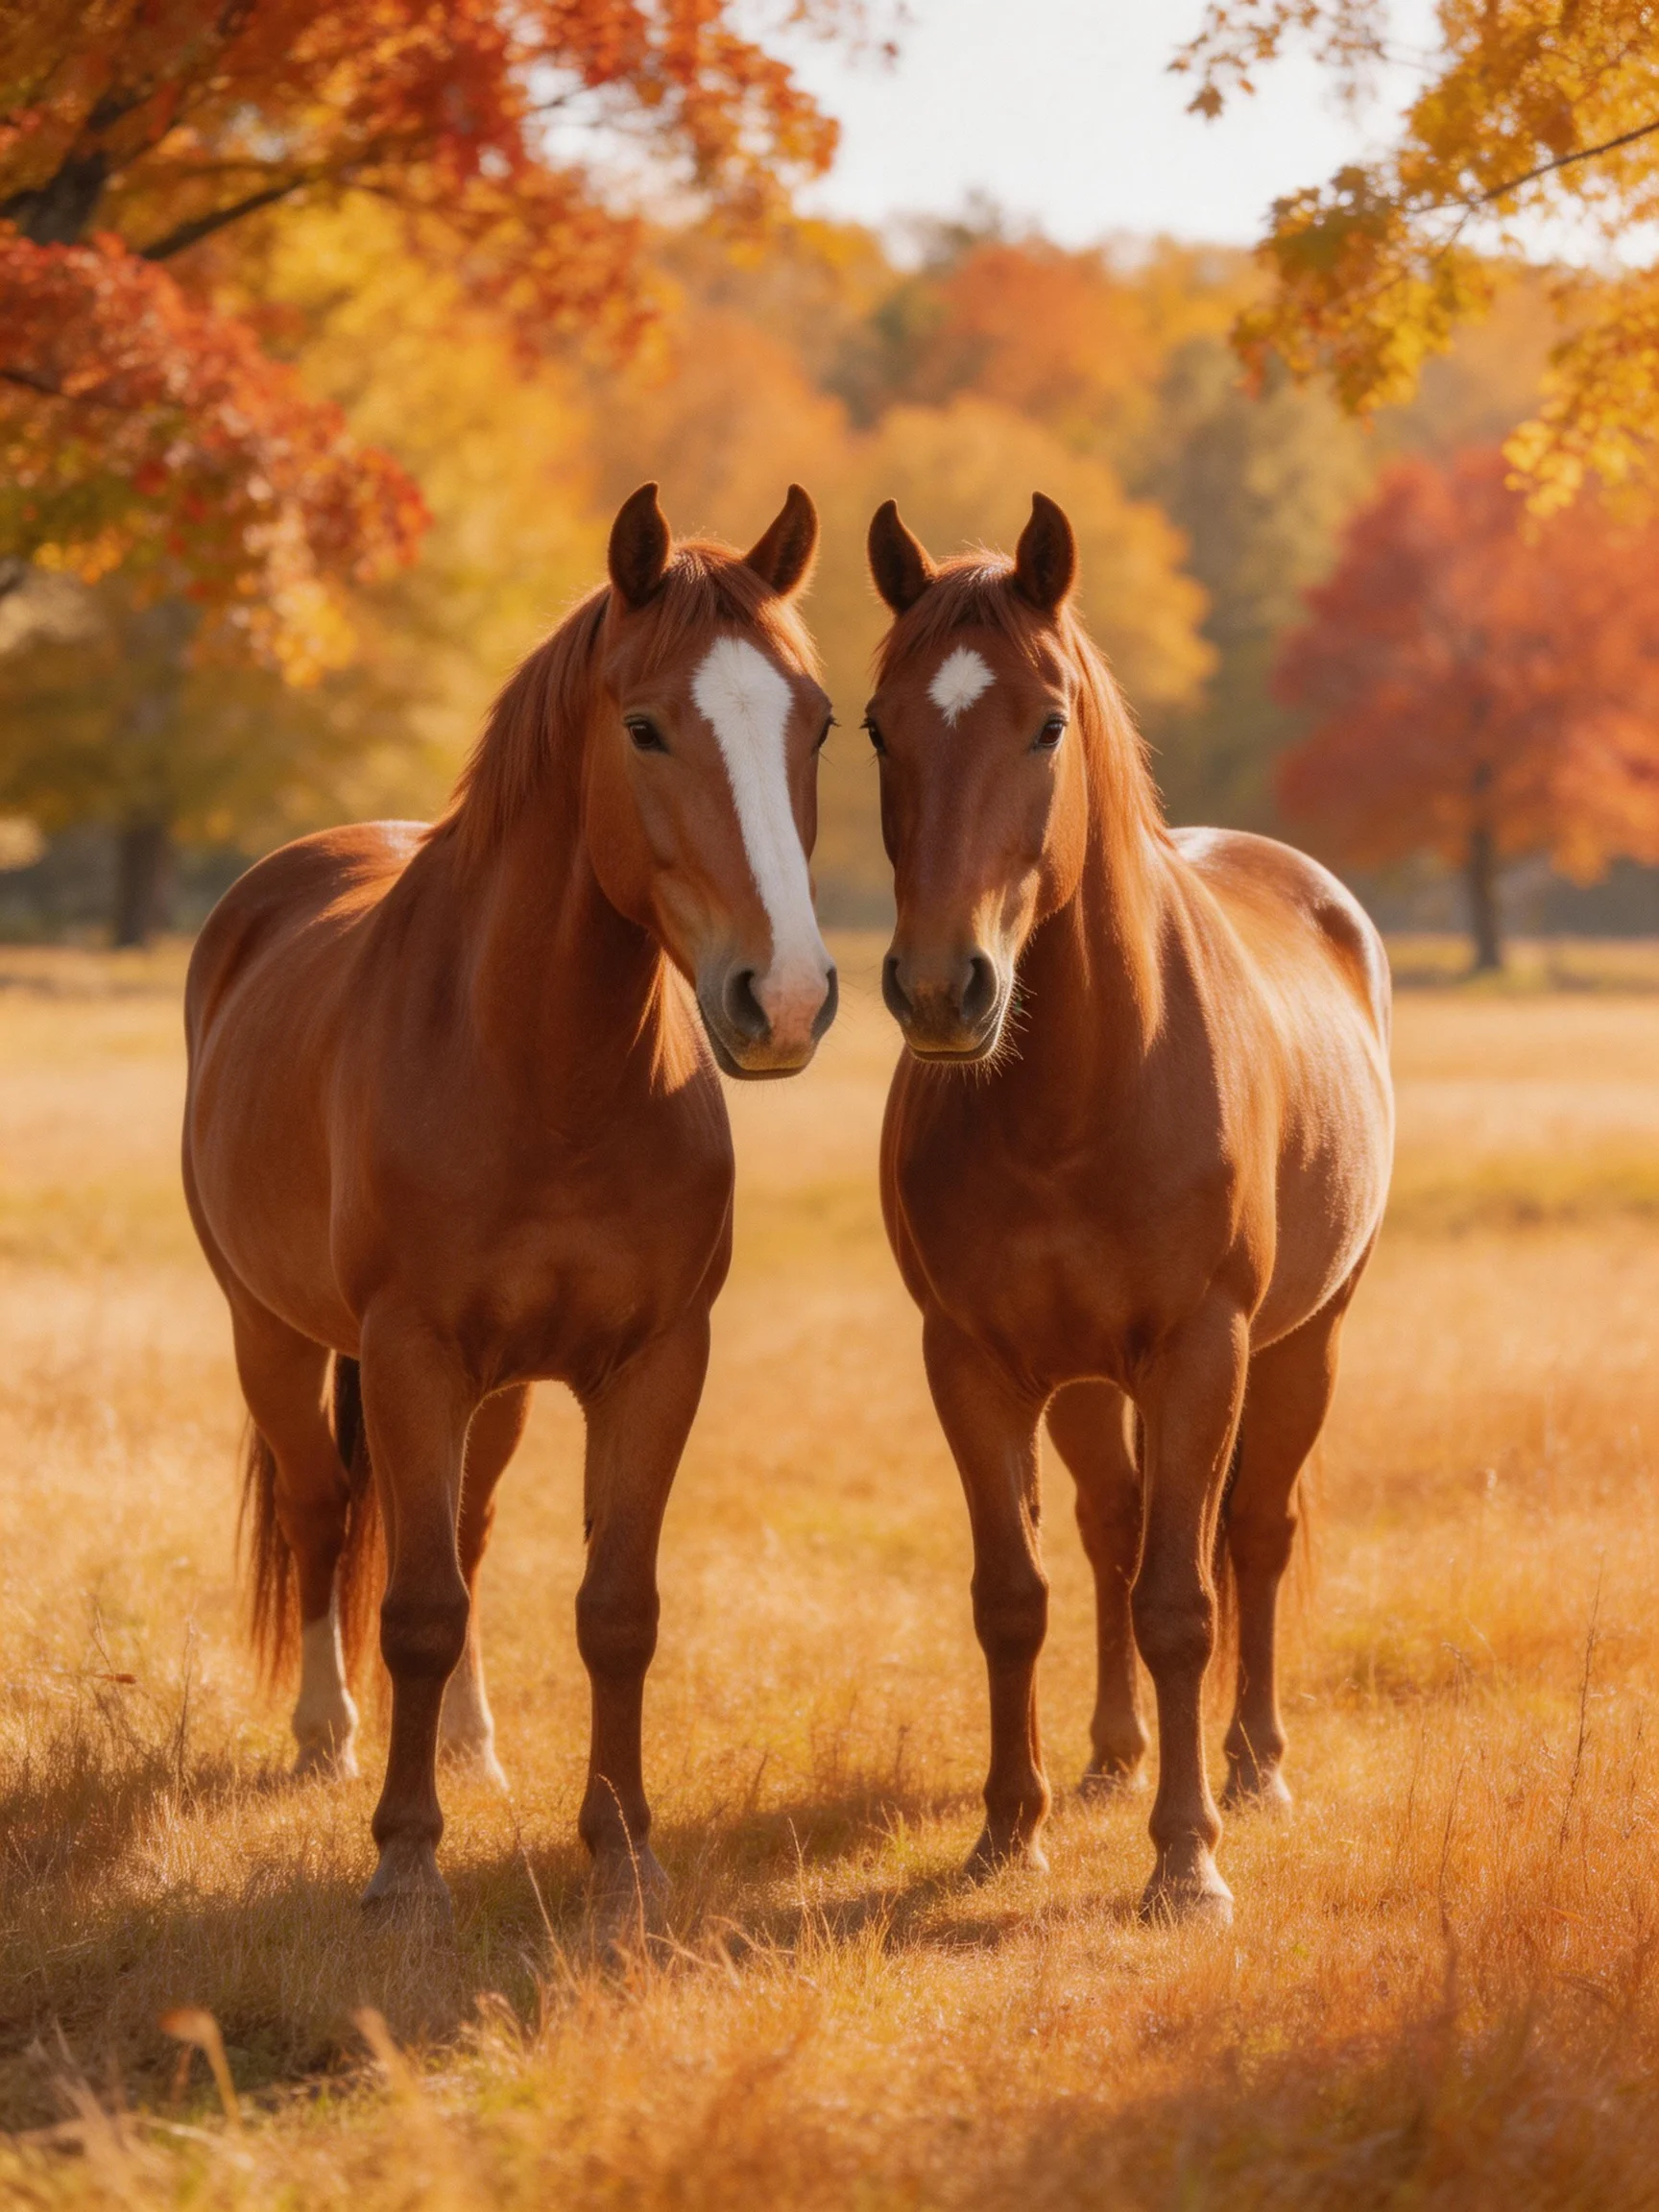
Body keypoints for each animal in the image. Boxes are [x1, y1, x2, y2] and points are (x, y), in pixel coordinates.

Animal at [182, 482, 838, 1925]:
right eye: (644, 725)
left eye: (818, 721)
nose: (786, 999)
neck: (542, 1071)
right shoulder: (412, 1355)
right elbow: (414, 1606)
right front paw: (403, 1861)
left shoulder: (652, 1363)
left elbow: (612, 1606)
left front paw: (623, 1850)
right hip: (274, 1335)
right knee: (325, 1516)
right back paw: (327, 1737)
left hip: (500, 1391)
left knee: (469, 1533)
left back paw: (473, 1746)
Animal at [863, 492, 1393, 1924]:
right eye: (874, 724)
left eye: (1047, 722)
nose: (941, 989)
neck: (1079, 1091)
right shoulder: (972, 1363)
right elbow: (1016, 1595)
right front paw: (1010, 1831)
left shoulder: (1204, 1350)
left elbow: (1183, 1601)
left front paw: (1187, 1861)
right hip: (1093, 1383)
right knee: (1110, 1532)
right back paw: (1112, 1758)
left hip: (1304, 1345)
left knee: (1252, 1537)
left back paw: (1254, 1765)